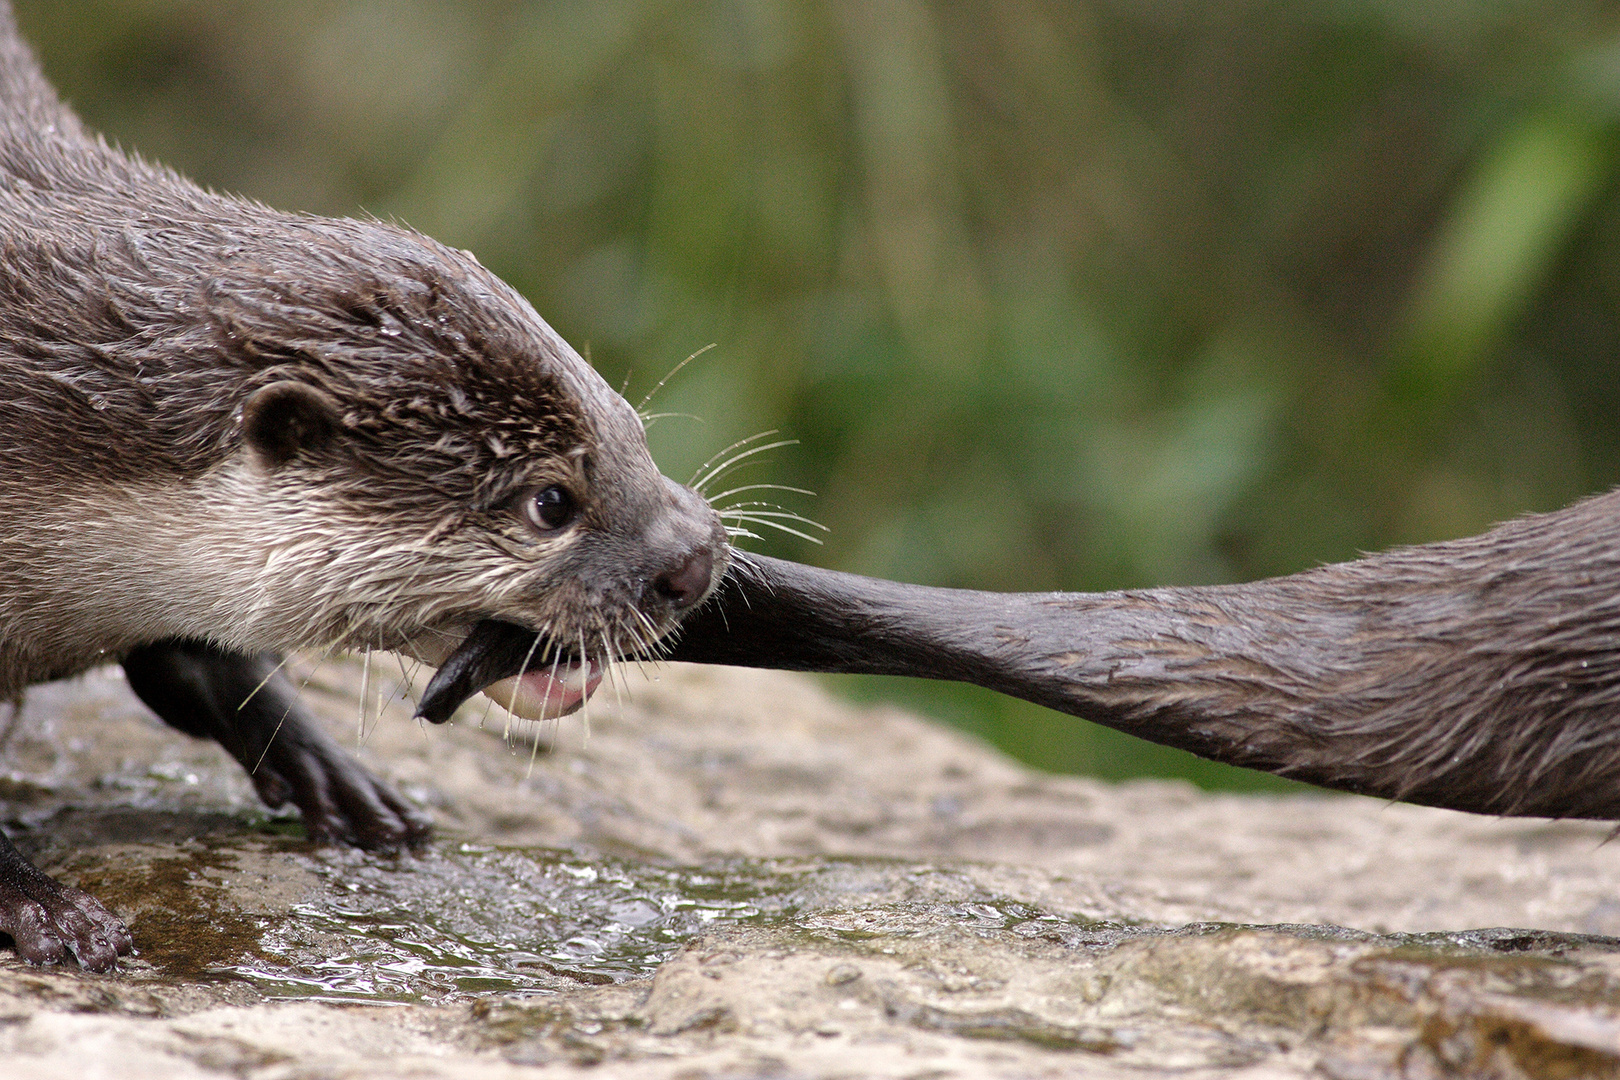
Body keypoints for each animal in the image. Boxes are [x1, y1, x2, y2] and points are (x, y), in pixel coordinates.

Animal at [0, 6, 725, 971]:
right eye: (550, 503)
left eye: (629, 426)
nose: (695, 557)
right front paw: (47, 908)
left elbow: (193, 655)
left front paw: (328, 769)